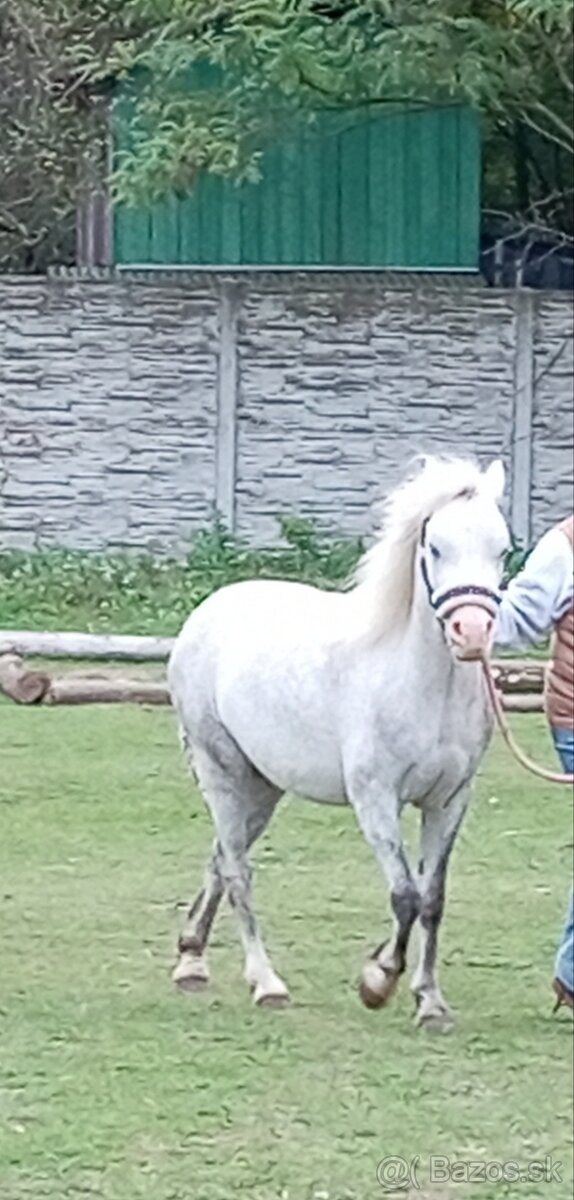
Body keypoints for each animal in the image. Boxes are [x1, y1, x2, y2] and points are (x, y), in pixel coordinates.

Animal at [168, 456, 510, 1031]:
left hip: (263, 788)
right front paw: (378, 981)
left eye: (501, 549)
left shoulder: (448, 801)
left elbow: (432, 899)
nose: (471, 634)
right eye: (436, 547)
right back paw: (266, 983)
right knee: (237, 870)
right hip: (222, 772)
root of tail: (207, 611)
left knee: (219, 857)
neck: (419, 682)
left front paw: (430, 1003)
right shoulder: (375, 798)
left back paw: (191, 959)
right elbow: (404, 896)